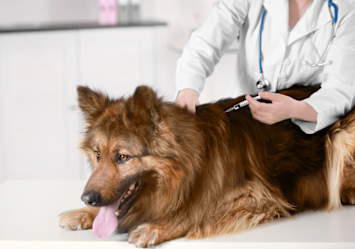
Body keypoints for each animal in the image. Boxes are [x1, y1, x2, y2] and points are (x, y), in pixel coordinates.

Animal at [58, 85, 355, 247]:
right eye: (97, 154)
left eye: (122, 157)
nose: (88, 198)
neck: (190, 166)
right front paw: (83, 213)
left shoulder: (257, 197)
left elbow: (195, 210)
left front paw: (155, 227)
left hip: (339, 134)